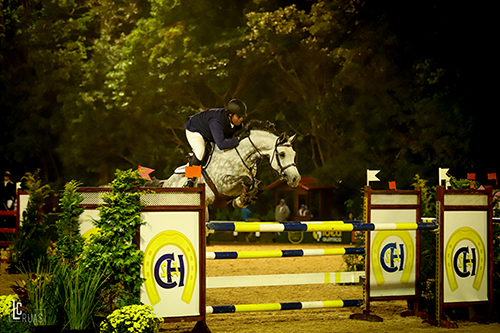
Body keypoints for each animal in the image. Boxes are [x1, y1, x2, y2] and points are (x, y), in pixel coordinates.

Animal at [163, 126, 300, 209]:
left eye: (294, 154)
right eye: (282, 154)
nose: (296, 179)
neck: (241, 157)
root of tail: (165, 184)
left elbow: (260, 184)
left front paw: (243, 201)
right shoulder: (222, 183)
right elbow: (246, 180)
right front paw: (242, 199)